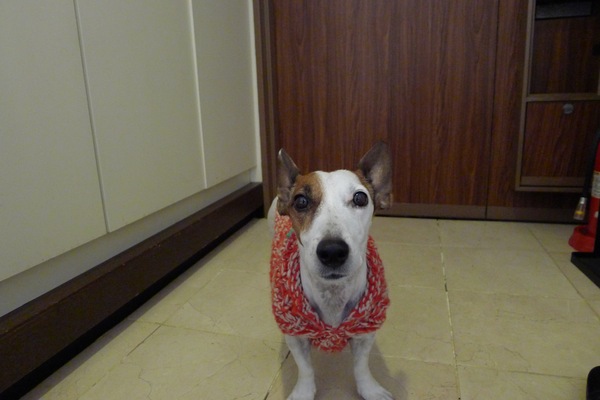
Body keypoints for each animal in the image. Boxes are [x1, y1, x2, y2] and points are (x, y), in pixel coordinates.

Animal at [268, 142, 393, 400]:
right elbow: (305, 368)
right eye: (301, 201)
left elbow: (361, 366)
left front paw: (369, 389)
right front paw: (304, 392)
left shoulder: (365, 332)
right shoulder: (297, 336)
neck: (333, 293)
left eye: (360, 198)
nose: (333, 251)